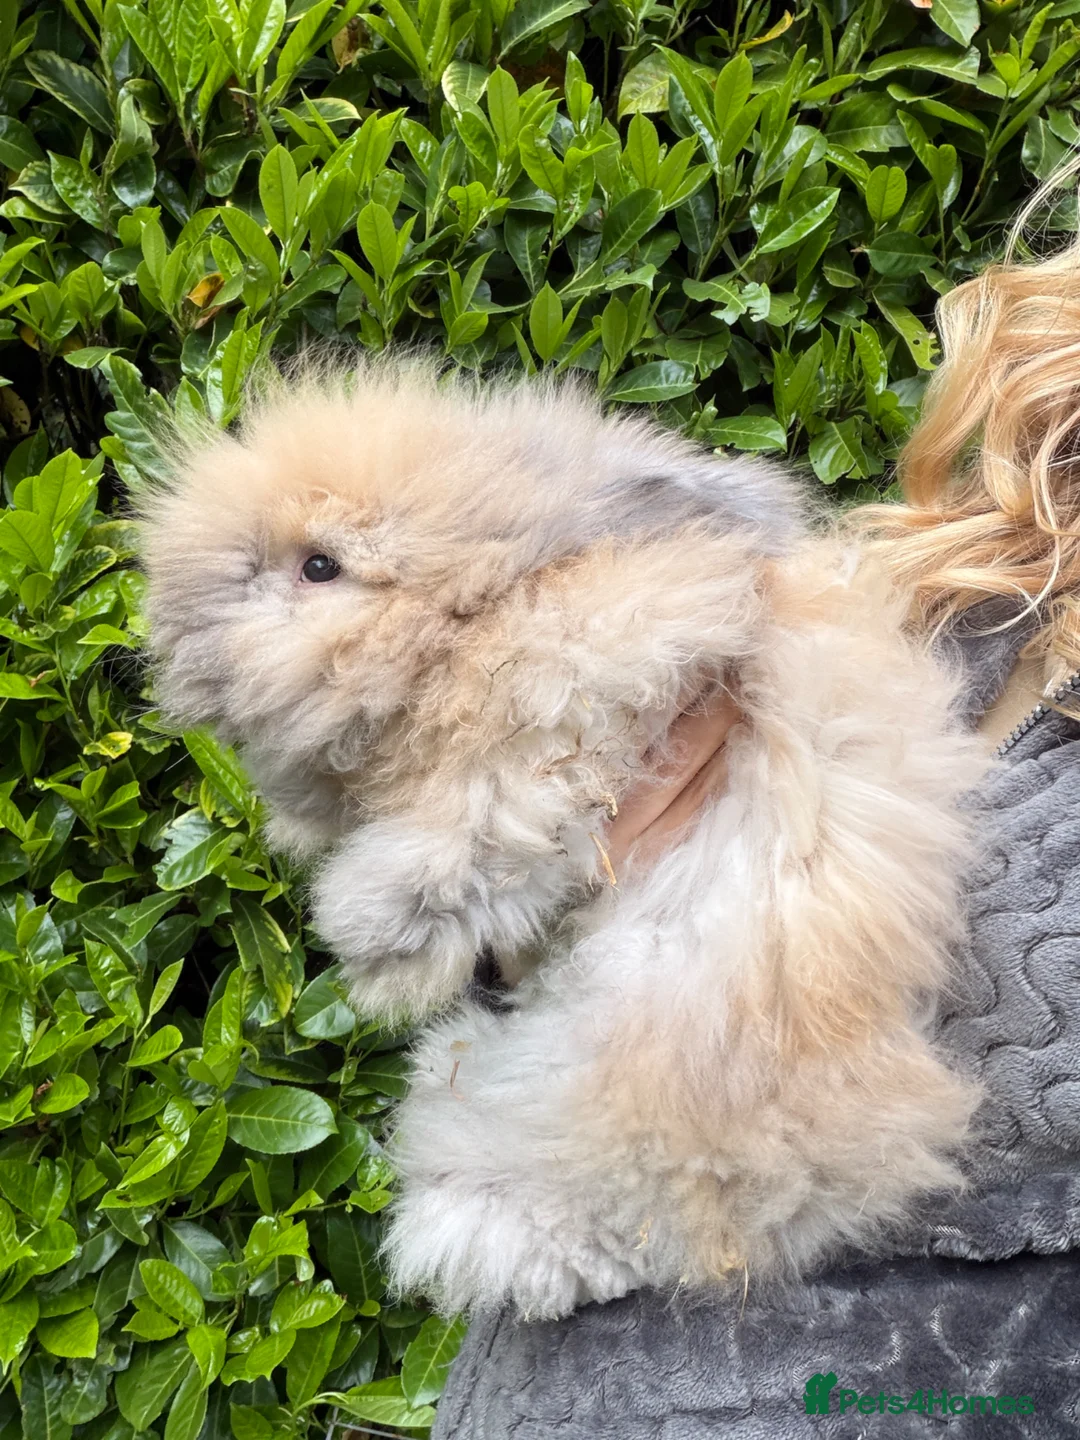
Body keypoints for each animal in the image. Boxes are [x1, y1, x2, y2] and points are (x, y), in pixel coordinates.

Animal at [140, 354, 985, 1319]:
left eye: (320, 565)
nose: (175, 617)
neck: (475, 625)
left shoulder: (588, 693)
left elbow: (494, 812)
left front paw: (375, 936)